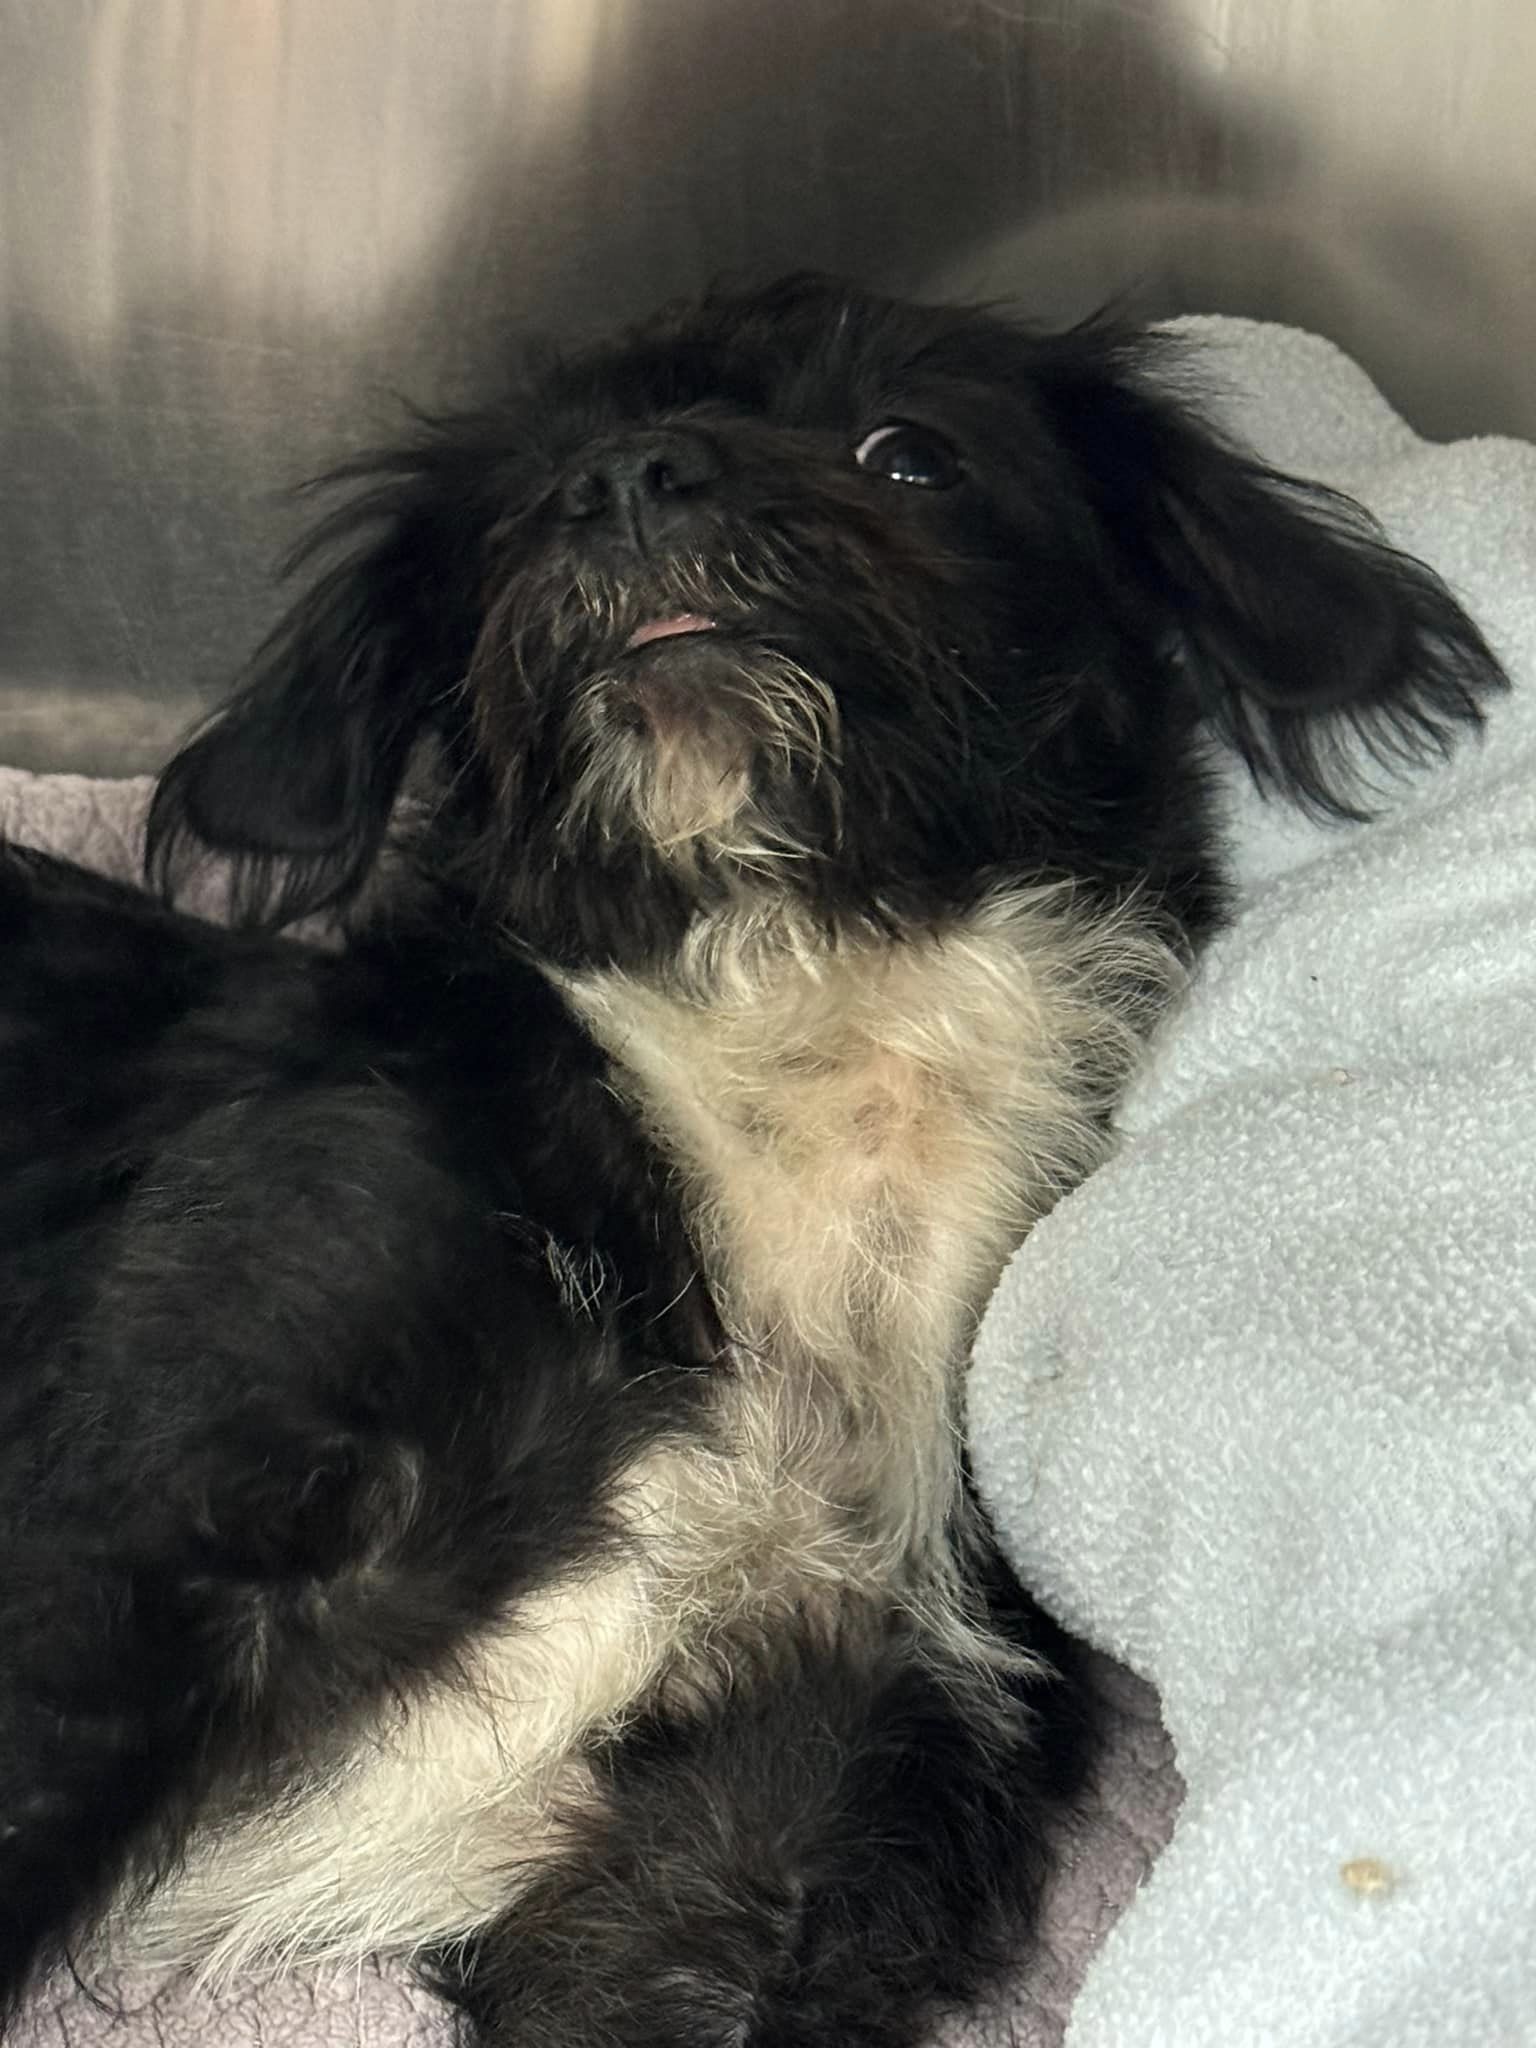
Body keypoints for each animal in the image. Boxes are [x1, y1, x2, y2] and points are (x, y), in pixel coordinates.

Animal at [0, 276, 1515, 2048]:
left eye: (908, 452)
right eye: (520, 512)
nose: (629, 478)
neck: (799, 1002)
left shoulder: (782, 1827)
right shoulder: (159, 1512)